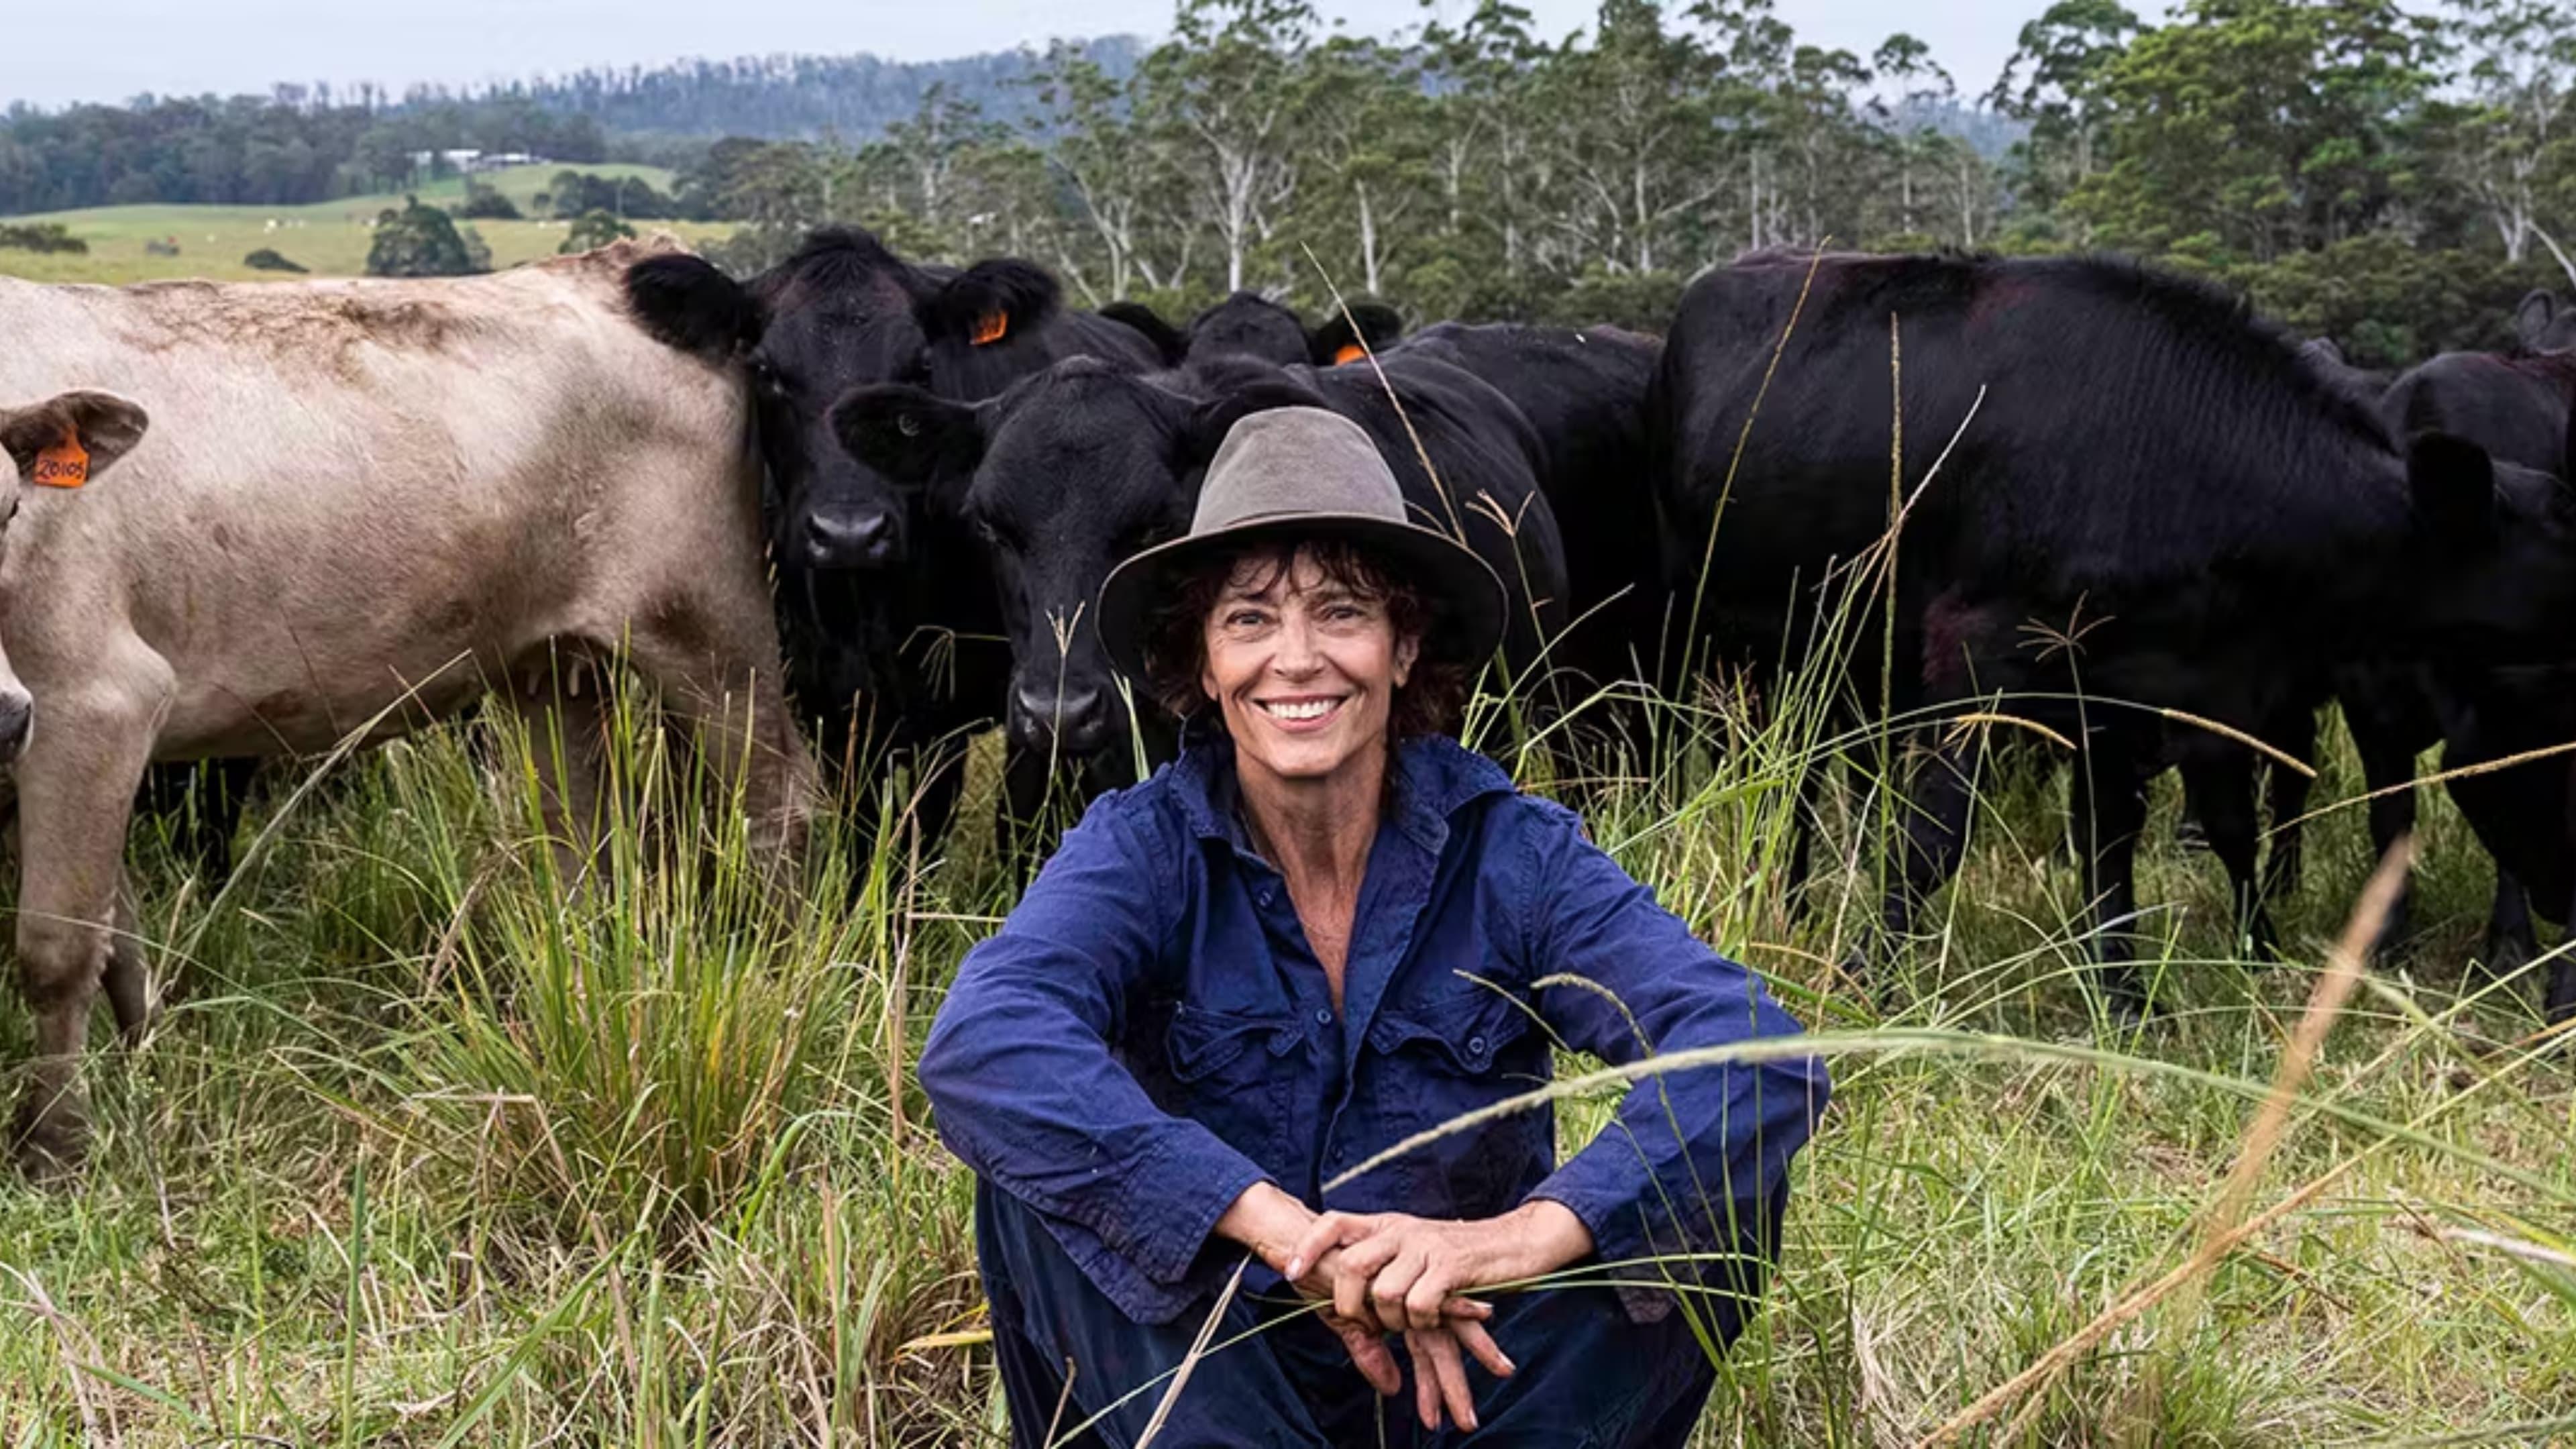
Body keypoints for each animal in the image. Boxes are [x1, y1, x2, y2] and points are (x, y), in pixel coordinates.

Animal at [618, 225, 1164, 835]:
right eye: (764, 371)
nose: (850, 532)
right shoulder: (834, 715)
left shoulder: (951, 719)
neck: (866, 612)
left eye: (920, 367)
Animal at [1658, 251, 2576, 1005]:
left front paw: (2144, 990)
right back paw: (1796, 903)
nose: (2563, 899)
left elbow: (2138, 837)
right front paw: (1868, 978)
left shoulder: (2147, 689)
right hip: (1740, 642)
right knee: (1794, 780)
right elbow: (1937, 837)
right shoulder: (1979, 652)